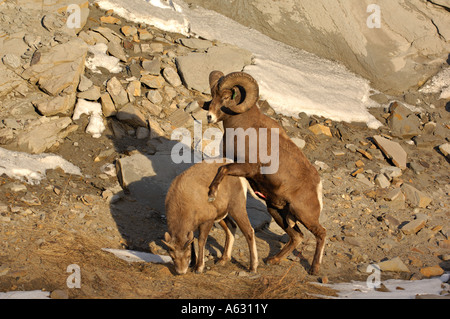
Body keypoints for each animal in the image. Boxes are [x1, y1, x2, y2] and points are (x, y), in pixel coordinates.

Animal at [206, 71, 326, 276]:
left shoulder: (247, 168)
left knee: (321, 233)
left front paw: (212, 194)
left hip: (304, 214)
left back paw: (314, 269)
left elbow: (223, 169)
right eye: (213, 95)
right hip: (277, 211)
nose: (209, 117)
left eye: (226, 97)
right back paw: (272, 260)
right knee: (297, 236)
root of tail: (317, 186)